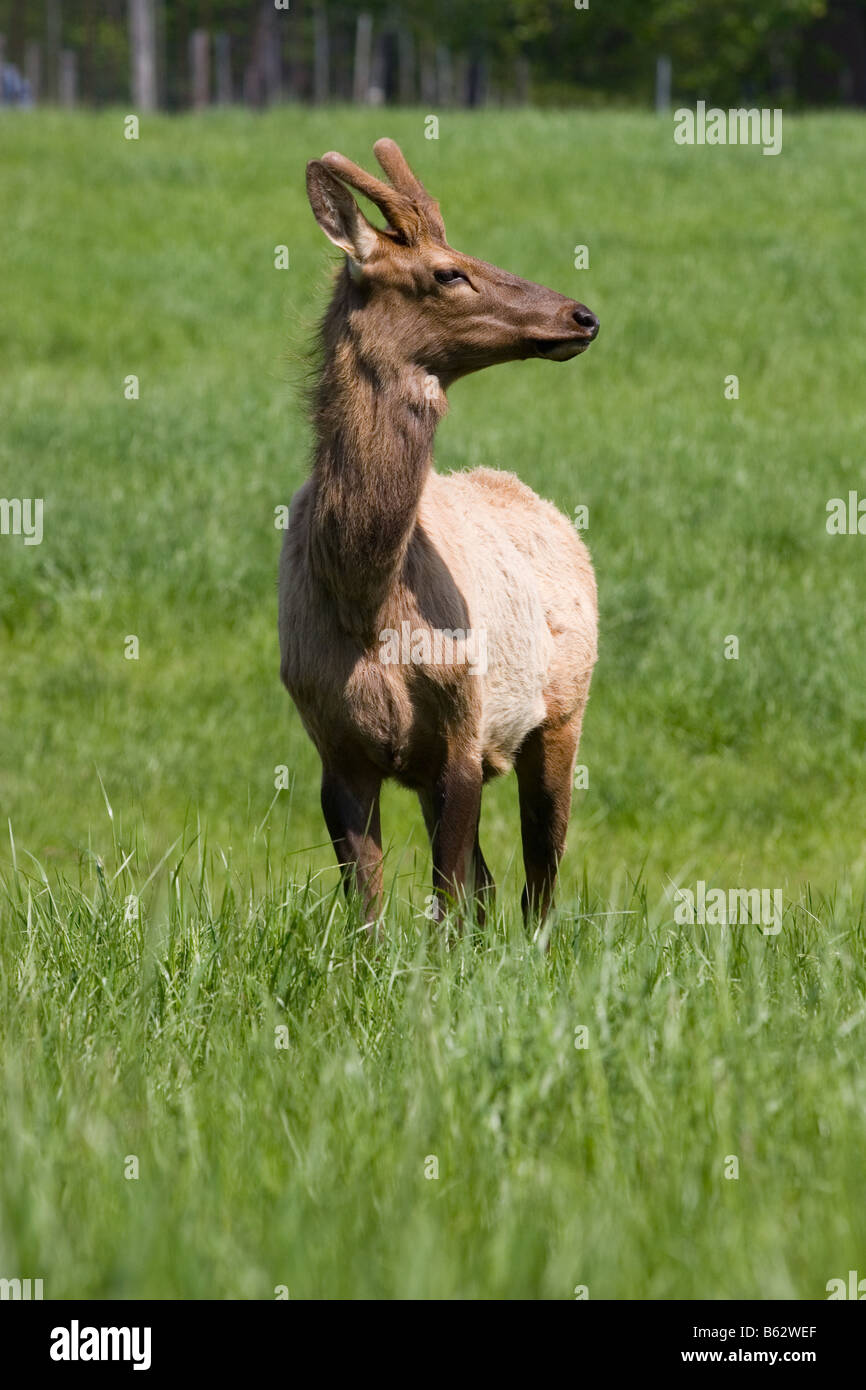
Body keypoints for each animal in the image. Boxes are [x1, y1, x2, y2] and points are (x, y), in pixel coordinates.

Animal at [280, 135, 600, 928]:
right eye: (448, 271)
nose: (582, 315)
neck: (365, 602)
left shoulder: (463, 725)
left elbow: (449, 896)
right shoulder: (336, 743)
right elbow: (369, 904)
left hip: (562, 712)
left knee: (540, 879)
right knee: (497, 884)